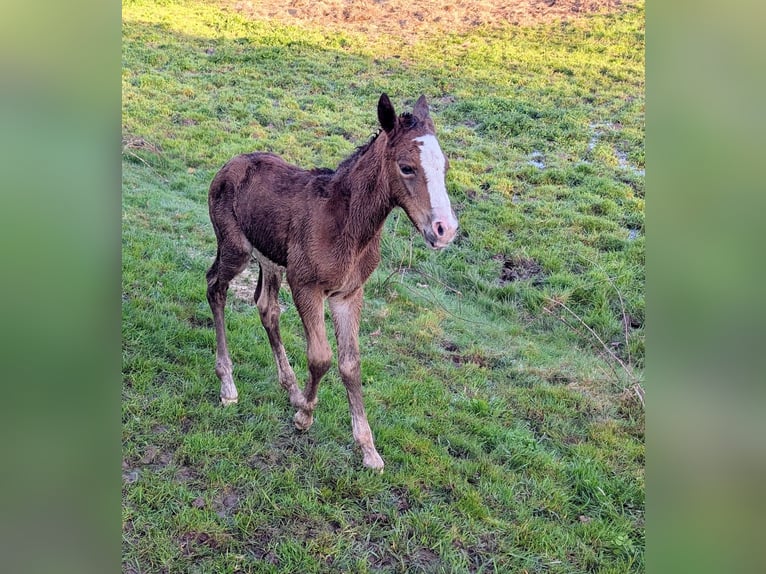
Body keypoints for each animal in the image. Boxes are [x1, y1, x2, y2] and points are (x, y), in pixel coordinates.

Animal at [206, 93, 458, 470]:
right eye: (406, 167)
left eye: (444, 166)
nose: (445, 230)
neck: (347, 224)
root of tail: (228, 165)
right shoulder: (305, 285)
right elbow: (321, 357)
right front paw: (305, 415)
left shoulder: (349, 293)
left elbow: (350, 363)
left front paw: (367, 448)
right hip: (235, 249)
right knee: (215, 288)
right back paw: (228, 385)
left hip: (270, 259)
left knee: (266, 308)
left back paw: (290, 387)